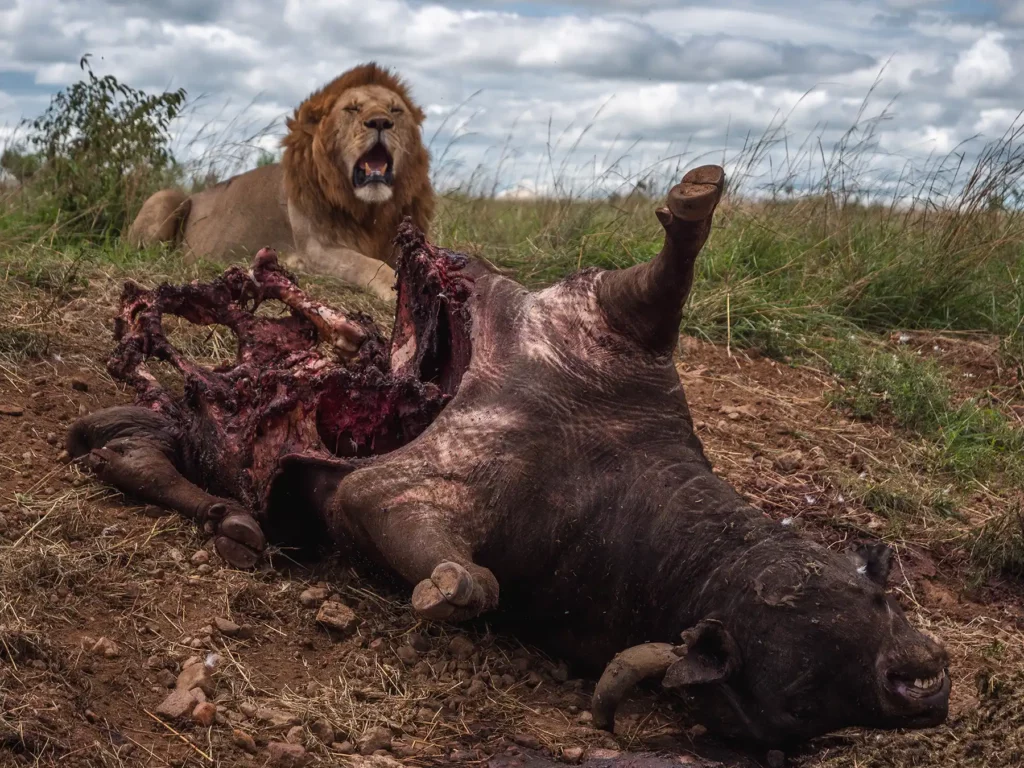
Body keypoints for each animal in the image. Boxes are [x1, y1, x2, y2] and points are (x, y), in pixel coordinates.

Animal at [125, 63, 435, 301]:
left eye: (396, 111)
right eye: (352, 109)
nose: (381, 122)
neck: (370, 209)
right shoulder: (317, 250)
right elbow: (371, 266)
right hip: (166, 197)